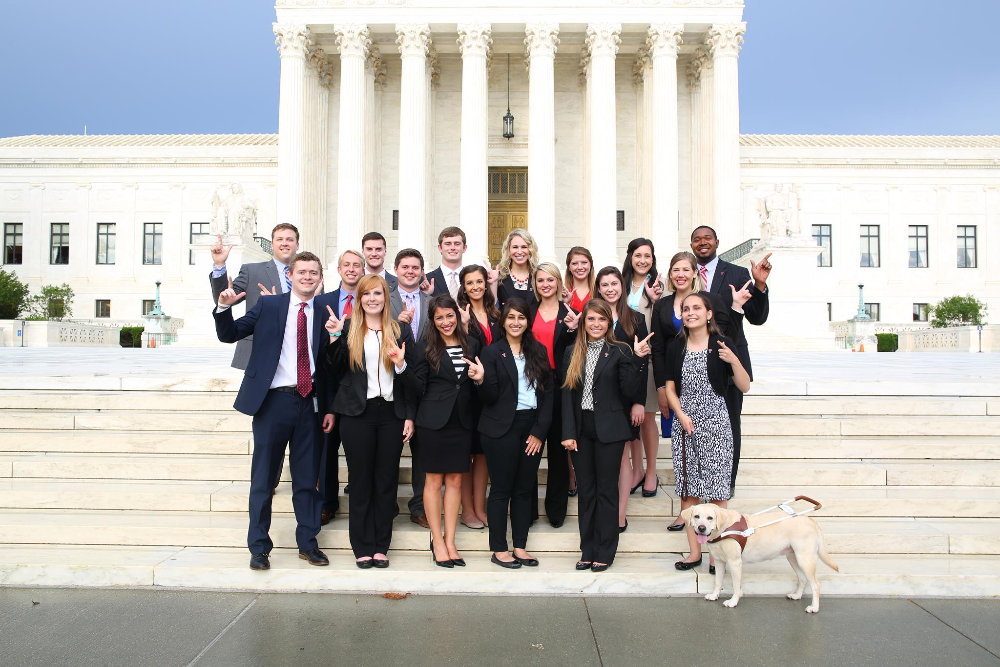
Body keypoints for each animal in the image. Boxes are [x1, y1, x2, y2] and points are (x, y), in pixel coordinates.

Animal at [684, 504, 840, 612]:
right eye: (696, 516)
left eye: (710, 518)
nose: (702, 528)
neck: (724, 528)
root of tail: (810, 520)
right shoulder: (719, 561)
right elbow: (718, 582)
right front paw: (714, 595)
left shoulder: (735, 563)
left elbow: (736, 585)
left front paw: (733, 601)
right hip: (793, 558)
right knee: (803, 579)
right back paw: (796, 596)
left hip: (805, 559)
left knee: (816, 585)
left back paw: (814, 608)